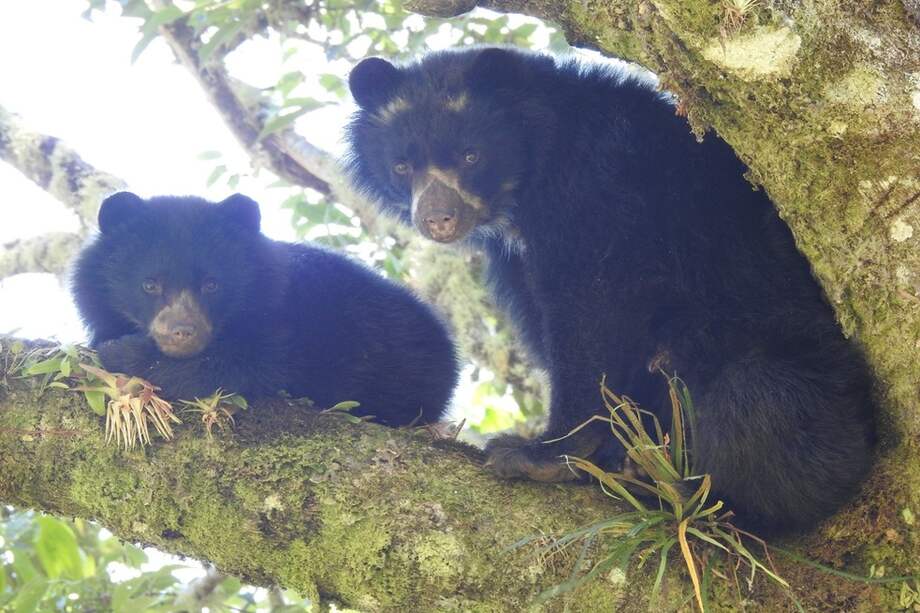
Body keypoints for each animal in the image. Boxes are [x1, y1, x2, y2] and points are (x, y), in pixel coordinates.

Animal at [71, 191, 459, 427]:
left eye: (212, 284)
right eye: (150, 284)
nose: (182, 332)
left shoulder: (290, 322)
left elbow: (248, 364)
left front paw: (121, 352)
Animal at [343, 47, 876, 532]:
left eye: (471, 156)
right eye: (402, 166)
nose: (438, 219)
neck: (530, 176)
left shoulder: (597, 194)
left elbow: (590, 312)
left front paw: (541, 454)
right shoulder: (515, 259)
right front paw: (599, 453)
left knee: (757, 398)